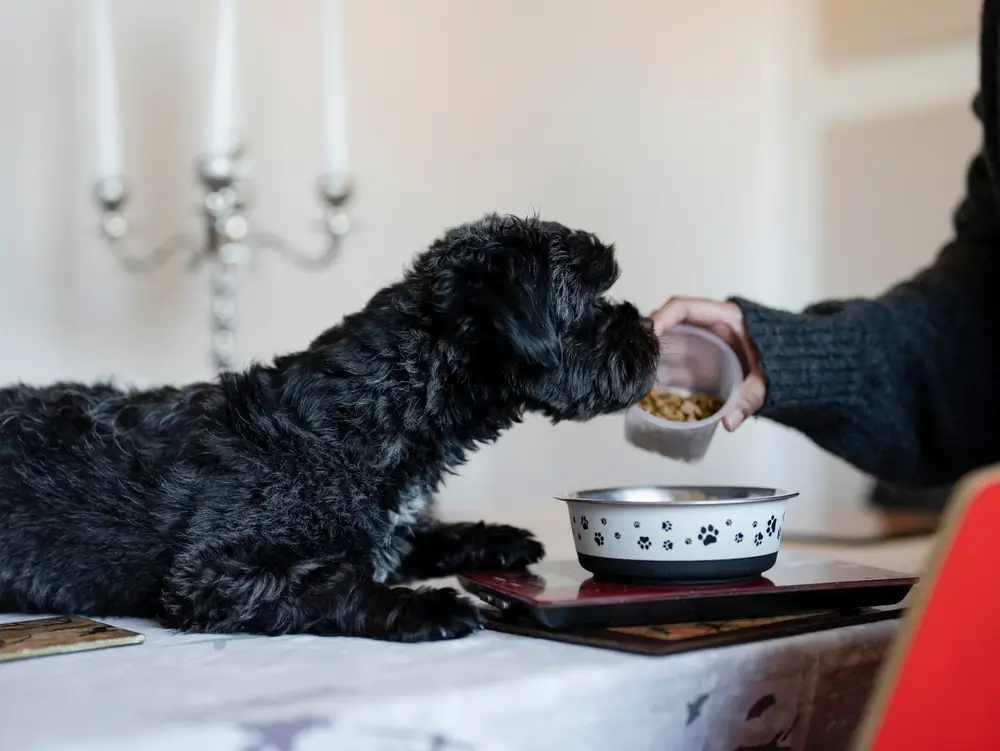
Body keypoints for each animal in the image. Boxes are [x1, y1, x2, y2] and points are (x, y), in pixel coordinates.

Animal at [0, 214, 660, 644]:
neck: (371, 410)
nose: (651, 335)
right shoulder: (210, 575)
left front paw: (495, 537)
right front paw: (425, 607)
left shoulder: (390, 530)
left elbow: (419, 536)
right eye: (591, 300)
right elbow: (332, 583)